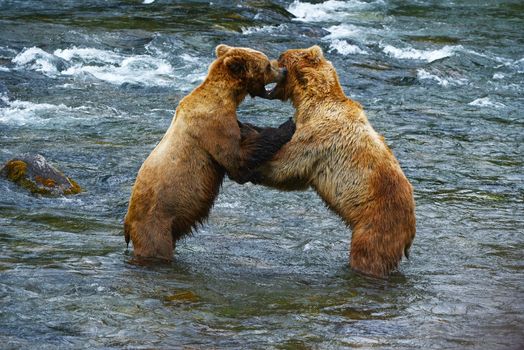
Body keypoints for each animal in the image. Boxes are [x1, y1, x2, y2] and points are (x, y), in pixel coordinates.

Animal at [123, 44, 294, 260]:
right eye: (267, 65)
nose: (284, 70)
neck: (227, 97)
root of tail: (127, 225)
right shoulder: (214, 126)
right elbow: (237, 161)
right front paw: (287, 125)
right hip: (155, 224)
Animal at [244, 45, 416, 278]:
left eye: (281, 56)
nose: (270, 59)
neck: (312, 99)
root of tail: (411, 226)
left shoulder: (319, 136)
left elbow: (288, 166)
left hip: (377, 223)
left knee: (369, 255)